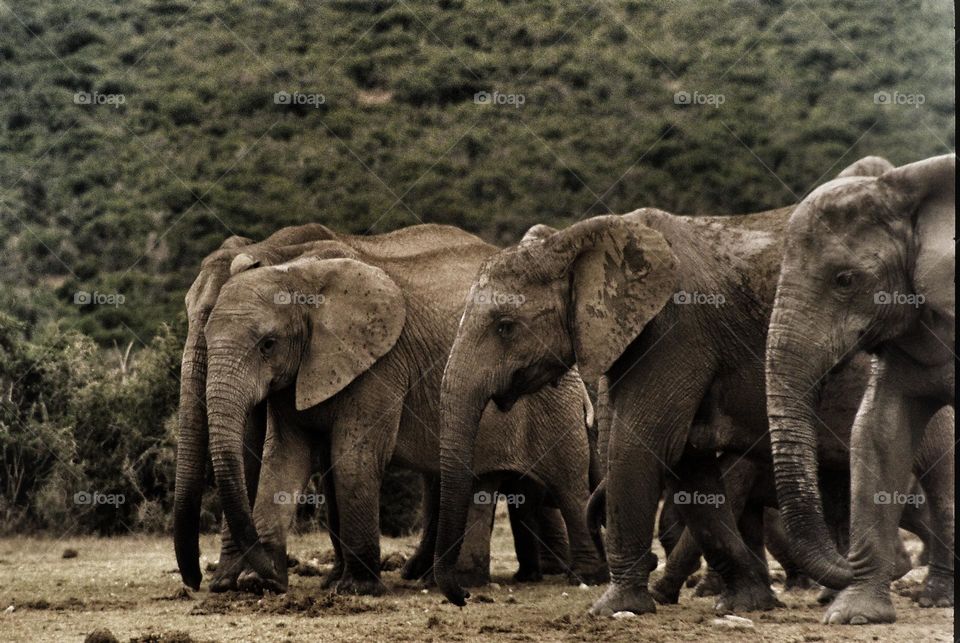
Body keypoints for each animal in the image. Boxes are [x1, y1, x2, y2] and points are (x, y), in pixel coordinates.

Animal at [173, 224, 599, 593]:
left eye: (267, 344)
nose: (196, 581)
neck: (289, 263)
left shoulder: (381, 361)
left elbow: (352, 457)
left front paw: (355, 588)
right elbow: (283, 458)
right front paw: (254, 583)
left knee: (564, 485)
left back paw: (569, 576)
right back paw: (447, 577)